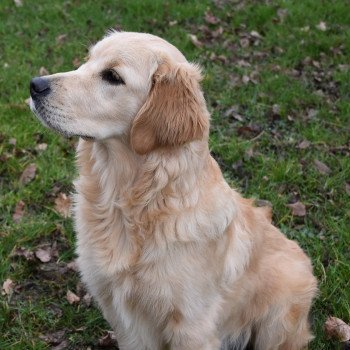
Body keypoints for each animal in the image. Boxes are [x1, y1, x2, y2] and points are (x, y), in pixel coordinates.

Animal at [30, 31, 318, 348]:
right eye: (87, 60)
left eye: (113, 76)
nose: (35, 85)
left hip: (278, 318)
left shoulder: (192, 324)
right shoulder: (125, 317)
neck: (133, 201)